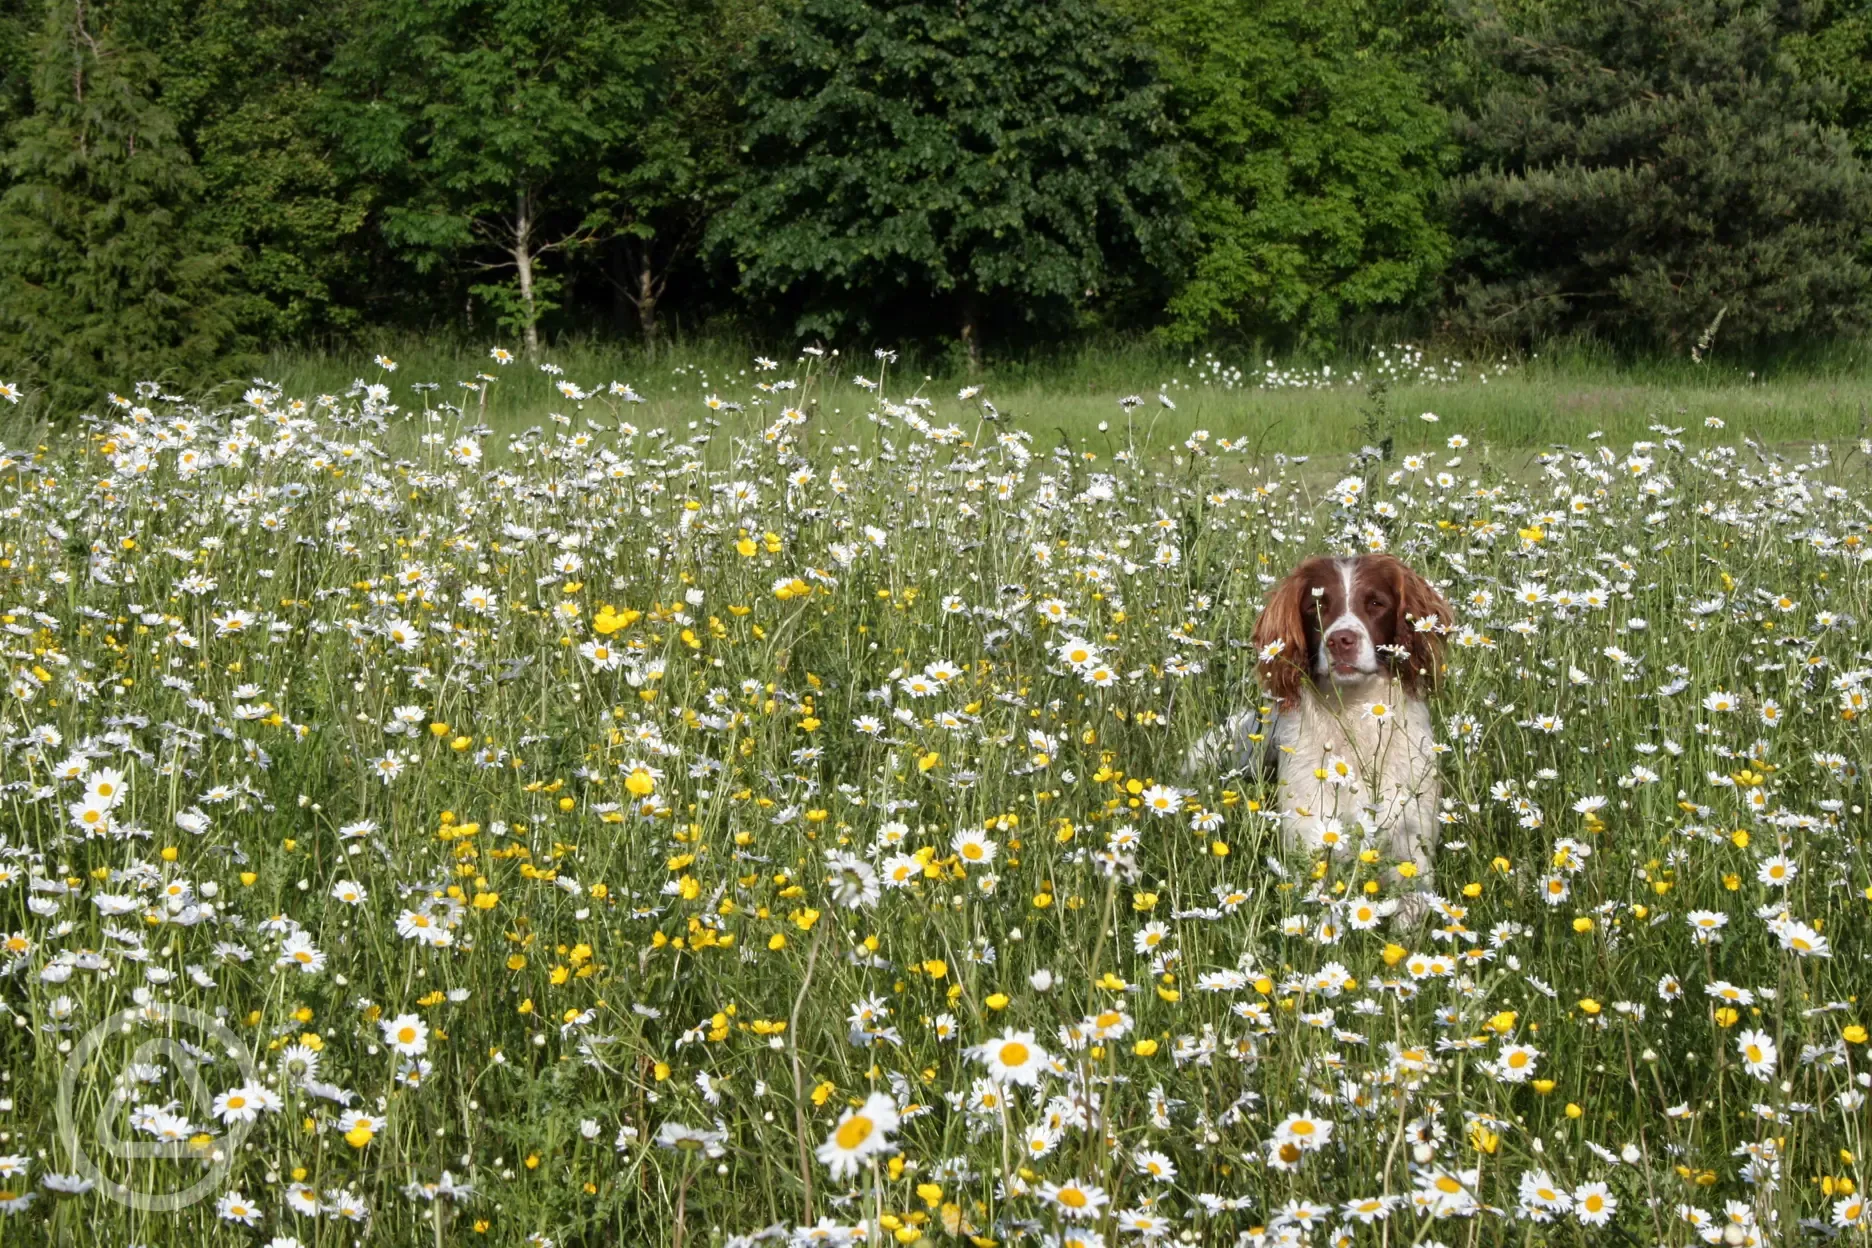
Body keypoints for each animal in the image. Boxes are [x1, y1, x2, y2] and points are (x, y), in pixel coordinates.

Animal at [1183, 550, 1460, 924]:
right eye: (1317, 606)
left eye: (1376, 603)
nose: (1340, 640)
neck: (1353, 717)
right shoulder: (1310, 835)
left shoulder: (1411, 836)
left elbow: (1413, 899)